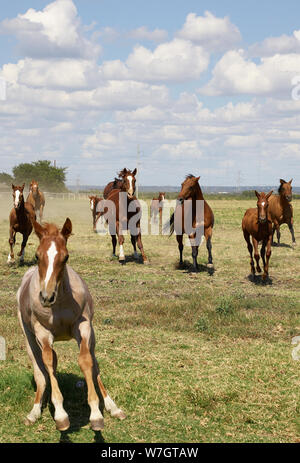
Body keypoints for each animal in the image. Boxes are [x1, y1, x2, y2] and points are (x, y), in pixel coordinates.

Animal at [16, 218, 125, 432]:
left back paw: (113, 407)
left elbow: (86, 361)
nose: (46, 297)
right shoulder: (42, 333)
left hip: (92, 337)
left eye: (66, 257)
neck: (60, 302)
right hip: (29, 338)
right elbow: (49, 362)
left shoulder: (83, 326)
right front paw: (60, 414)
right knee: (40, 372)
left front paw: (96, 414)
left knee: (95, 366)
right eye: (37, 255)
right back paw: (34, 411)